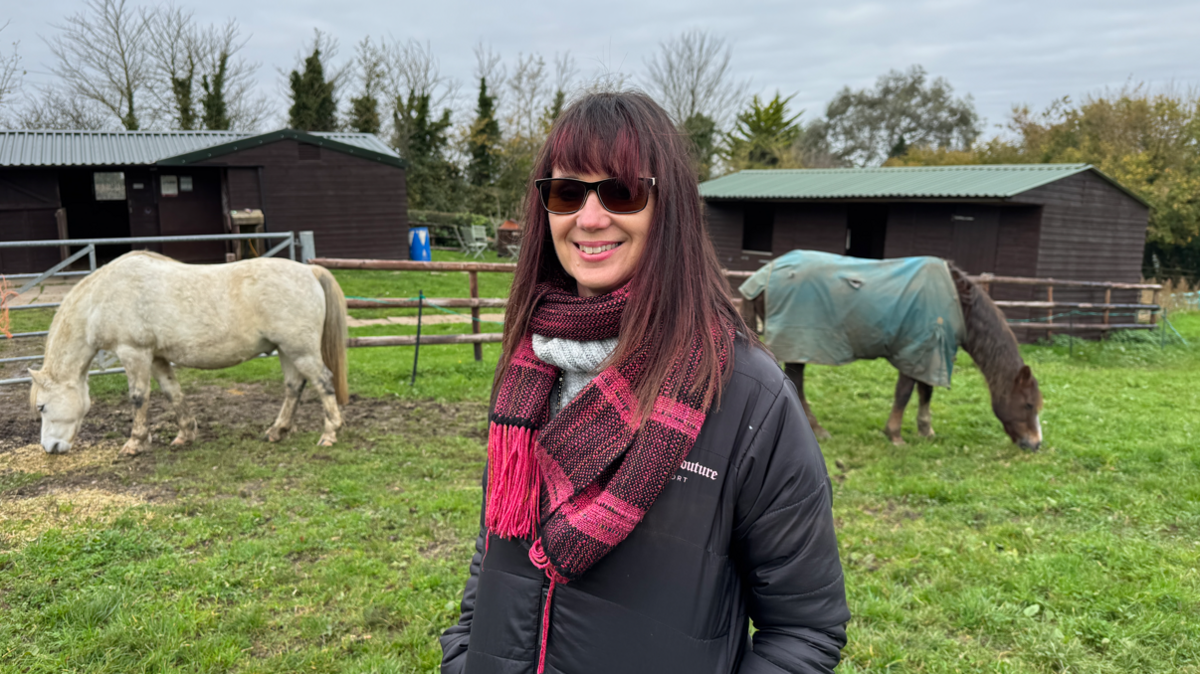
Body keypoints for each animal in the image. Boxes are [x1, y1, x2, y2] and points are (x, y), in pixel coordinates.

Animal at [29, 251, 348, 455]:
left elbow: (138, 397)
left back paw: (330, 434)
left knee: (323, 382)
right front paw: (185, 434)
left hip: (300, 350)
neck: (102, 298)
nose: (49, 448)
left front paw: (135, 443)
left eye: (41, 406)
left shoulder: (134, 352)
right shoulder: (156, 357)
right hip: (287, 350)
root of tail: (309, 271)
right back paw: (277, 431)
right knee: (294, 387)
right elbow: (173, 393)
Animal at [777, 265, 1041, 448]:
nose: (1036, 444)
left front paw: (925, 431)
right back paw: (817, 429)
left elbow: (926, 391)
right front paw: (894, 434)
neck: (956, 303)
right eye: (1028, 404)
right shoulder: (914, 351)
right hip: (798, 345)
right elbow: (904, 393)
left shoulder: (930, 353)